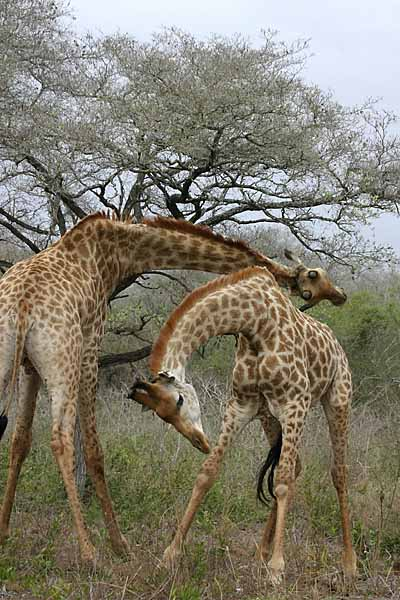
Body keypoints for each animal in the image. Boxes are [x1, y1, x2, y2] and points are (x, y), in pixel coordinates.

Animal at [0, 211, 338, 564]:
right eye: (315, 277)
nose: (337, 295)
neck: (114, 252)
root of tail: (22, 305)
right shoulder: (90, 348)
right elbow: (93, 450)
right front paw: (118, 545)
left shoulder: (30, 367)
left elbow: (21, 441)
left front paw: (5, 531)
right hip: (63, 360)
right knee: (61, 440)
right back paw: (89, 551)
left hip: (13, 360)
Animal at [130, 266, 356, 580]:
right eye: (162, 417)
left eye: (179, 401)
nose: (200, 442)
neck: (254, 322)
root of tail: (336, 344)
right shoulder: (241, 405)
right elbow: (207, 472)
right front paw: (170, 555)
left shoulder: (294, 402)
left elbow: (282, 481)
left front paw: (277, 568)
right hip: (269, 416)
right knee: (296, 466)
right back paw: (261, 552)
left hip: (337, 400)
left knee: (338, 471)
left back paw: (349, 563)